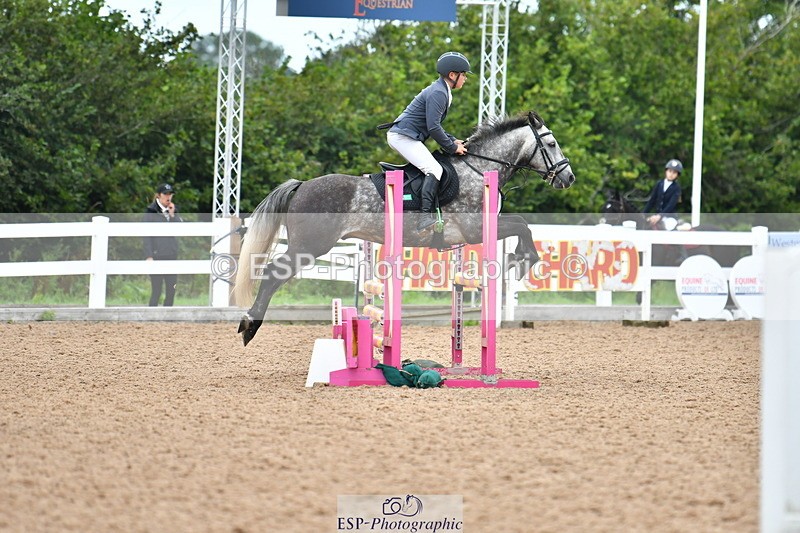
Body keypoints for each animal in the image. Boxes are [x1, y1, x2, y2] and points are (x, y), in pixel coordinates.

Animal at [233, 111, 575, 346]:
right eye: (552, 143)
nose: (568, 177)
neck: (478, 169)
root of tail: (302, 185)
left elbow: (521, 224)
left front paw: (521, 259)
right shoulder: (474, 229)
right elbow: (522, 225)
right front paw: (524, 260)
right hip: (309, 246)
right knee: (273, 274)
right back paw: (249, 325)